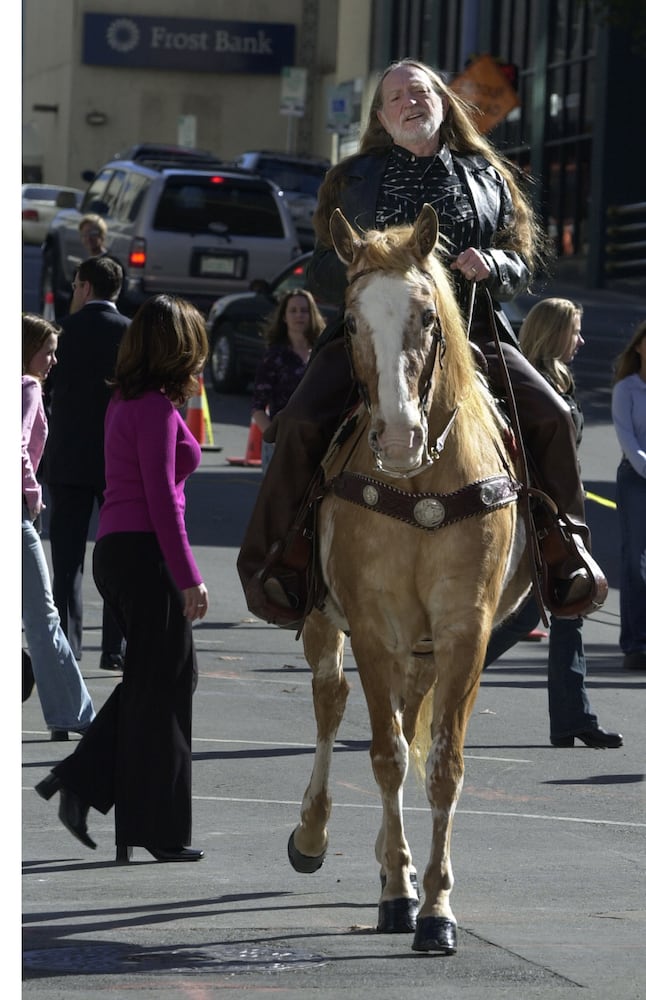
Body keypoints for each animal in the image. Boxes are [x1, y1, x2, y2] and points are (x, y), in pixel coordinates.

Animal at [288, 203, 532, 952]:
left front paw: (437, 907)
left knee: (406, 707)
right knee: (332, 701)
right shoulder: (373, 628)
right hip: (323, 619)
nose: (397, 438)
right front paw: (398, 893)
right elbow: (387, 754)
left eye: (428, 315)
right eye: (350, 320)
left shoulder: (464, 633)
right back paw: (313, 833)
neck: (421, 485)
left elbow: (443, 764)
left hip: (423, 648)